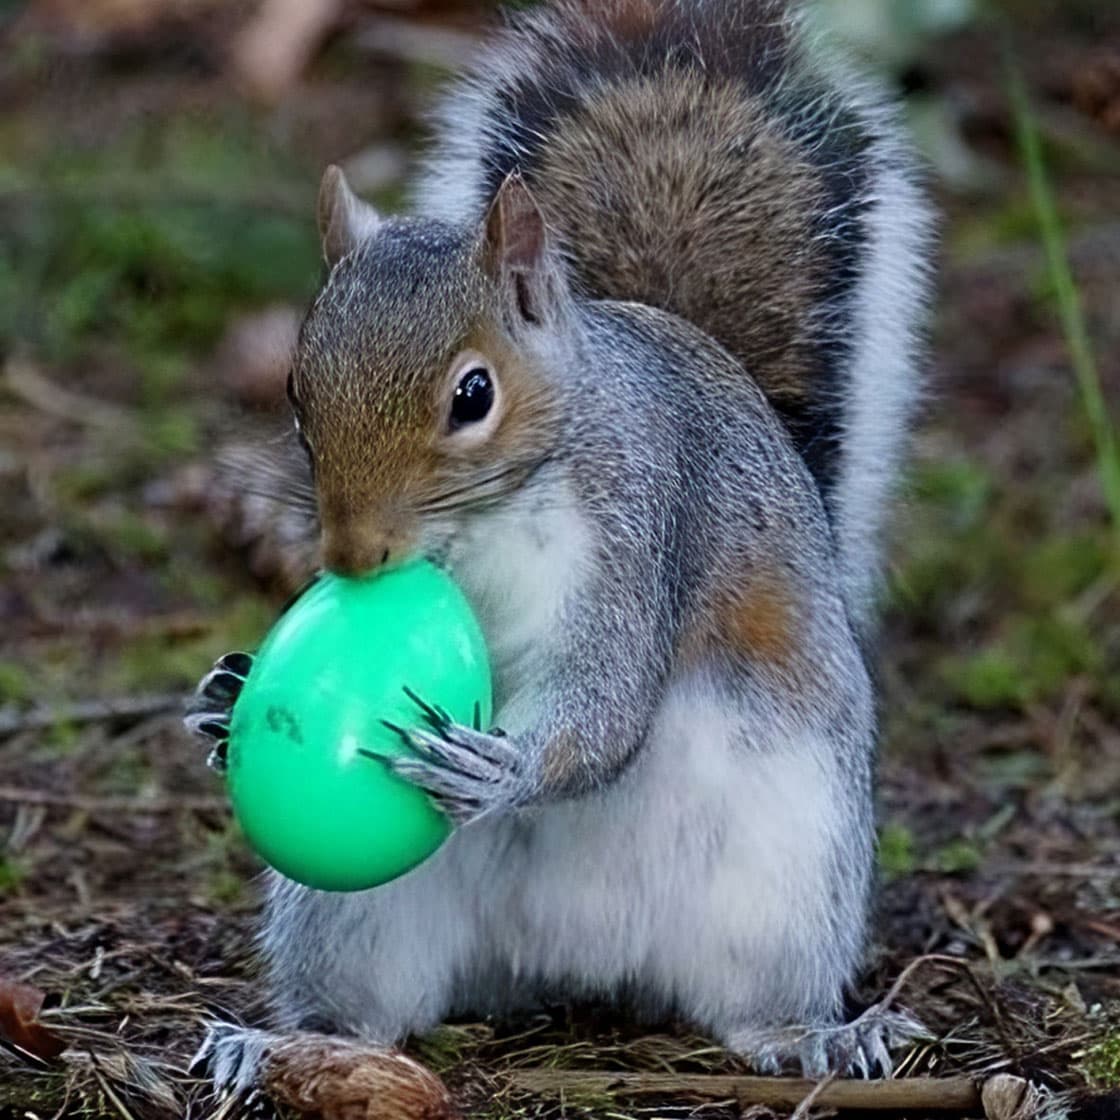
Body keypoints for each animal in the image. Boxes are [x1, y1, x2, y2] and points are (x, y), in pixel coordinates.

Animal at [187, 0, 934, 1090]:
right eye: (295, 389)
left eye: (473, 395)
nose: (354, 559)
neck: (483, 525)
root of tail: (564, 959)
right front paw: (224, 696)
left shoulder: (642, 529)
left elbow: (608, 704)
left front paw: (505, 771)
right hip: (354, 910)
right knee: (370, 1012)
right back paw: (292, 1042)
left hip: (786, 876)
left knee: (752, 1004)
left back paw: (815, 1034)